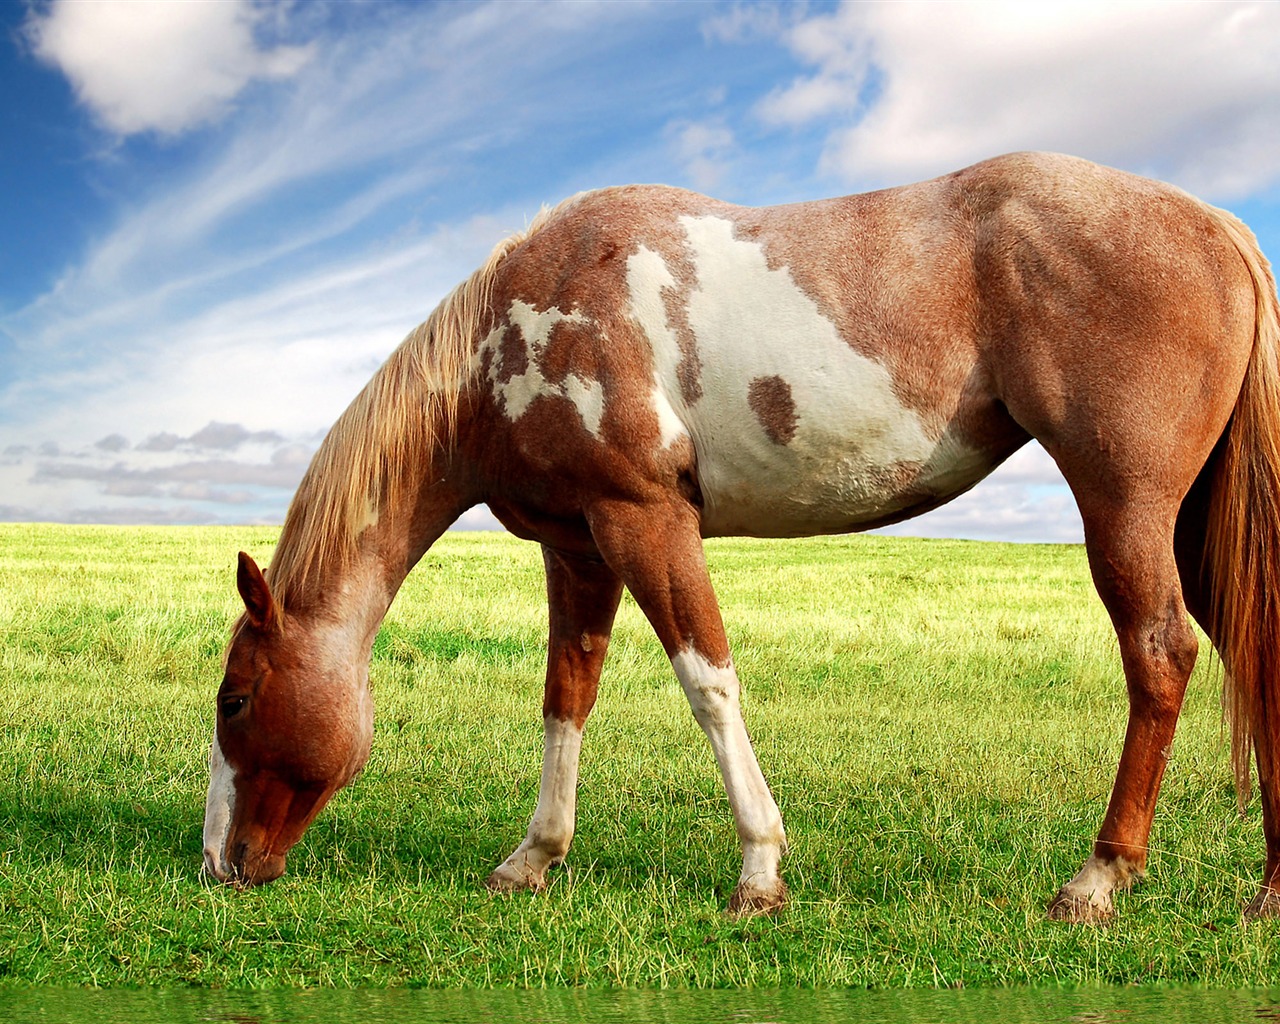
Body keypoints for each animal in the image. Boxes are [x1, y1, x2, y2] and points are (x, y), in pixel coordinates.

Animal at [202, 149, 1280, 921]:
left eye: (237, 699)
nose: (219, 864)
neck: (511, 331)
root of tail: (1220, 226)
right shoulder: (578, 546)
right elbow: (565, 699)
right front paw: (532, 859)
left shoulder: (644, 520)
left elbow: (707, 684)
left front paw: (759, 871)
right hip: (1193, 525)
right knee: (1250, 656)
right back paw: (1264, 890)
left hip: (1126, 506)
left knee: (1160, 655)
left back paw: (1097, 879)